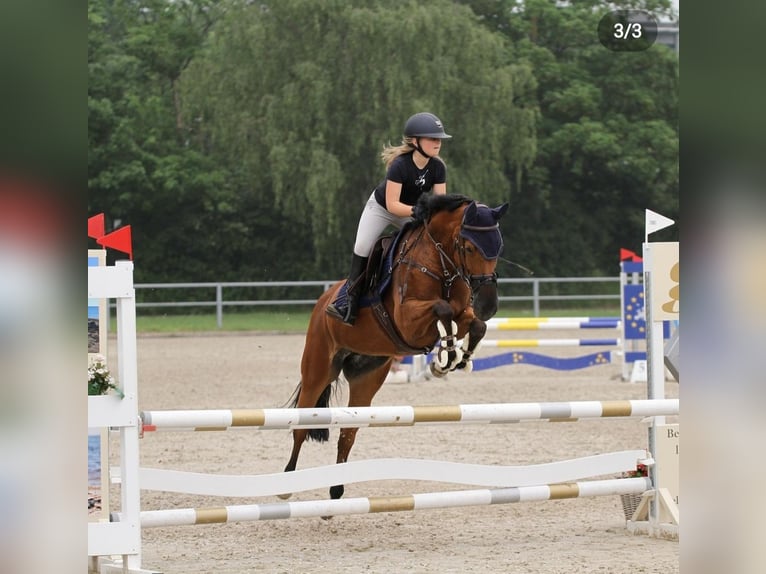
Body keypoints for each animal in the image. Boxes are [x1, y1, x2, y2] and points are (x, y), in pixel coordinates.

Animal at [282, 195, 510, 504]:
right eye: (470, 247)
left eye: (498, 247)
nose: (489, 305)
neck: (441, 265)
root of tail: (323, 300)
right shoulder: (408, 321)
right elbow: (442, 309)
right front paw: (448, 353)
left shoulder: (463, 314)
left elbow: (475, 325)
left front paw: (453, 359)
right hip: (318, 369)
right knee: (301, 426)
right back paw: (286, 484)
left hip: (367, 377)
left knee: (348, 434)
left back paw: (337, 490)